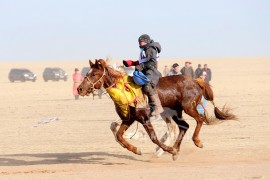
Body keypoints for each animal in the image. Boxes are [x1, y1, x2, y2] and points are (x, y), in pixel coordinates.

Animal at [77, 59, 236, 159]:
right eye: (87, 73)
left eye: (93, 74)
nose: (79, 89)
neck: (125, 89)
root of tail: (196, 81)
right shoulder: (129, 119)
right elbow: (119, 135)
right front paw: (136, 149)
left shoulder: (144, 118)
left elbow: (153, 138)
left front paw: (167, 149)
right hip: (175, 112)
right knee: (183, 126)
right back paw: (176, 151)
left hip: (188, 108)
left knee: (199, 120)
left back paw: (195, 142)